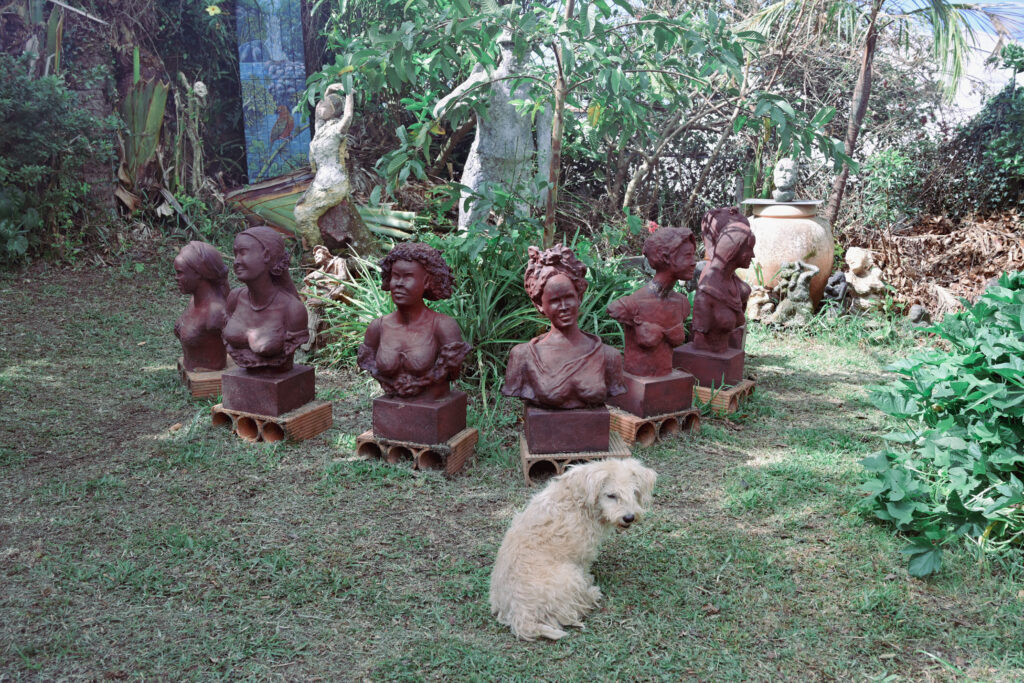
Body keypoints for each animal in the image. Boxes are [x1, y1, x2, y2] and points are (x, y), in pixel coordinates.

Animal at [487, 458, 655, 643]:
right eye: (611, 495)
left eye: (635, 492)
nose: (629, 517)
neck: (581, 499)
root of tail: (521, 617)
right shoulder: (583, 554)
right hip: (570, 577)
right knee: (573, 611)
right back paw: (592, 593)